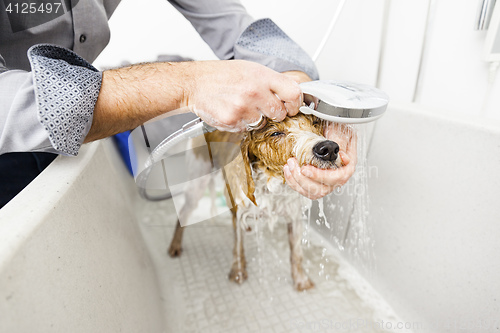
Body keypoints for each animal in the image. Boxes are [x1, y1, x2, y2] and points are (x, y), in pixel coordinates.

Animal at [167, 113, 344, 290]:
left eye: (315, 122)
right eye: (275, 133)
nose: (328, 148)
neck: (270, 183)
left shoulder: (294, 216)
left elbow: (297, 253)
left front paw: (301, 280)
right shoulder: (237, 212)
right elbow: (238, 248)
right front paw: (238, 272)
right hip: (198, 179)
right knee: (184, 211)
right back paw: (175, 245)